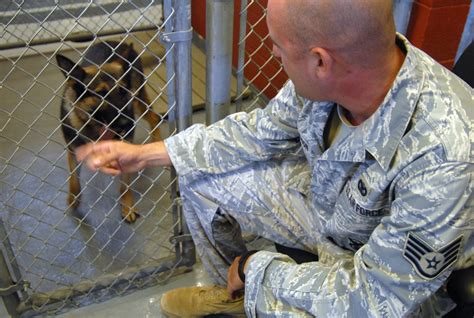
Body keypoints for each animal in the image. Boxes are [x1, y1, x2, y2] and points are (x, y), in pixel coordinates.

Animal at [55, 40, 161, 224]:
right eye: (101, 93)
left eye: (122, 90)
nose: (127, 123)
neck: (95, 125)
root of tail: (117, 42)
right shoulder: (72, 149)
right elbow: (73, 178)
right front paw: (73, 199)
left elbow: (125, 185)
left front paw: (127, 206)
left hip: (138, 101)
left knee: (154, 117)